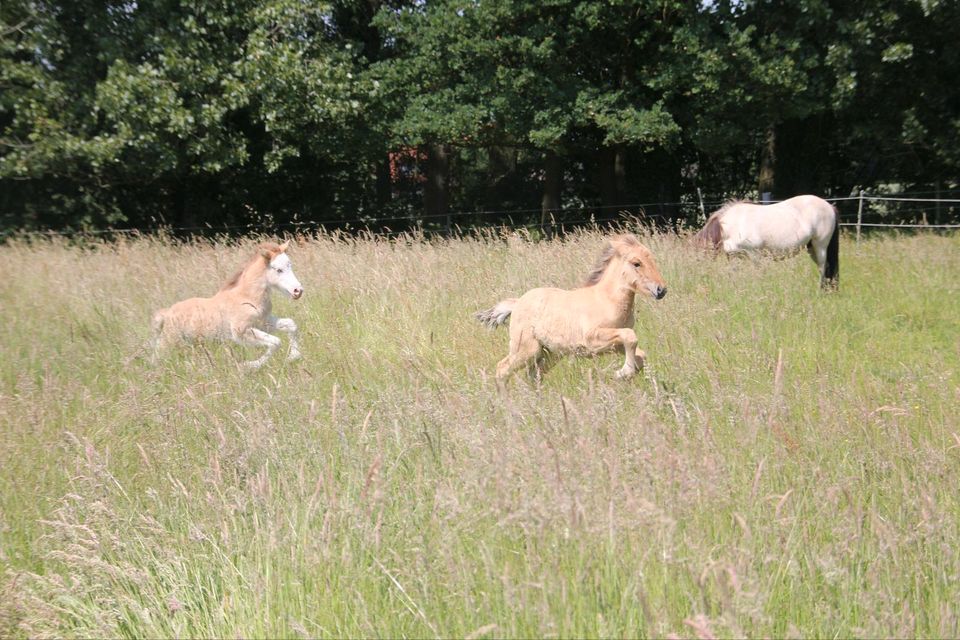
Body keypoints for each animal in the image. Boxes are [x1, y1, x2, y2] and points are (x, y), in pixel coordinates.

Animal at [154, 241, 304, 370]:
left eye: (290, 265)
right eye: (279, 270)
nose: (298, 290)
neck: (246, 297)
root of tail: (167, 313)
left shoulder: (263, 323)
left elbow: (291, 325)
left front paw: (293, 356)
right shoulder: (241, 331)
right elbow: (276, 342)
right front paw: (248, 366)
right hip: (169, 342)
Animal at [474, 234, 668, 388]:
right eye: (636, 263)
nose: (661, 290)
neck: (606, 300)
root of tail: (517, 303)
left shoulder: (615, 345)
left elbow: (640, 354)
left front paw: (625, 374)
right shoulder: (592, 339)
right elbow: (630, 336)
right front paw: (621, 373)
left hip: (550, 354)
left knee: (533, 375)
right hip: (526, 350)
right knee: (502, 369)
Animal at [692, 192, 836, 288]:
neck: (734, 224)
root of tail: (830, 206)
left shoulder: (754, 255)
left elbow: (757, 273)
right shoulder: (733, 256)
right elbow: (733, 274)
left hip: (820, 246)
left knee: (822, 267)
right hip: (811, 248)